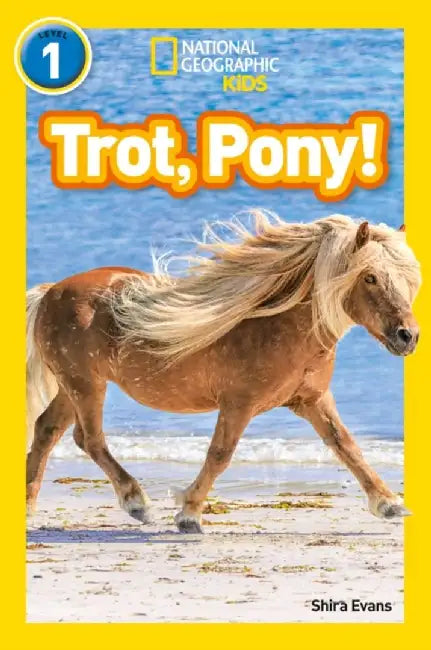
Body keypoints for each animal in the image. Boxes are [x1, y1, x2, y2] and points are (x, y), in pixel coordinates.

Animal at [26, 211, 421, 533]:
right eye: (370, 277)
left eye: (408, 279)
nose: (409, 336)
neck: (277, 324)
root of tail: (51, 293)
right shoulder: (238, 404)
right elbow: (219, 455)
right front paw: (188, 514)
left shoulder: (312, 400)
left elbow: (346, 446)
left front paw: (389, 504)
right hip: (86, 385)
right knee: (89, 439)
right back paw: (138, 503)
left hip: (73, 386)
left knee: (47, 430)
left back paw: (29, 508)